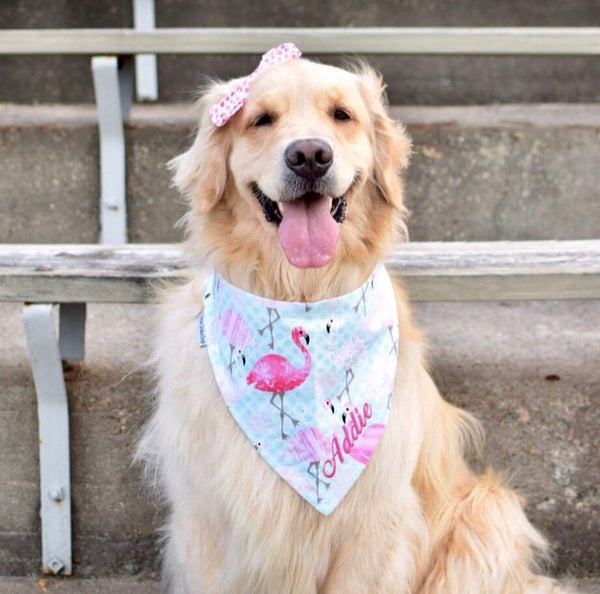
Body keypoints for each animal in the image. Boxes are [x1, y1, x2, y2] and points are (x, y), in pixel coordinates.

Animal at [137, 44, 576, 588]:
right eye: (261, 119)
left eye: (342, 115)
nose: (309, 155)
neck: (302, 294)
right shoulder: (205, 521)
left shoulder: (375, 521)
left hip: (487, 516)